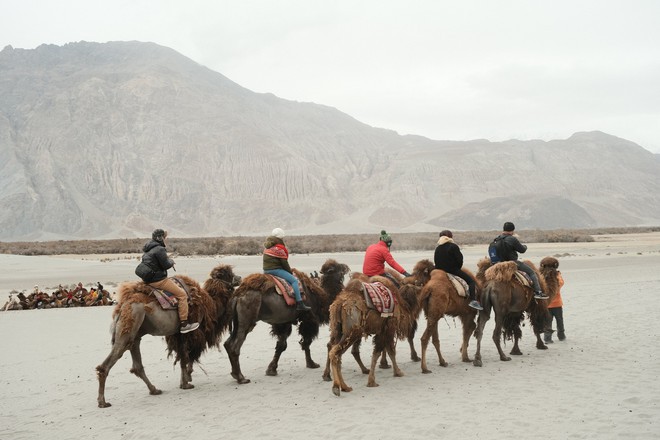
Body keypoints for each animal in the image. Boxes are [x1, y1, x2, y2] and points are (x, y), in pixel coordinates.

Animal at [96, 262, 241, 408]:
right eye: (227, 274)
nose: (239, 278)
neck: (209, 303)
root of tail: (121, 307)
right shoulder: (189, 331)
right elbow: (186, 356)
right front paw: (186, 383)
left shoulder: (177, 333)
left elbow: (183, 356)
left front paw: (185, 381)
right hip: (129, 326)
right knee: (107, 364)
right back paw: (103, 402)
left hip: (135, 335)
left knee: (137, 365)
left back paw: (154, 390)